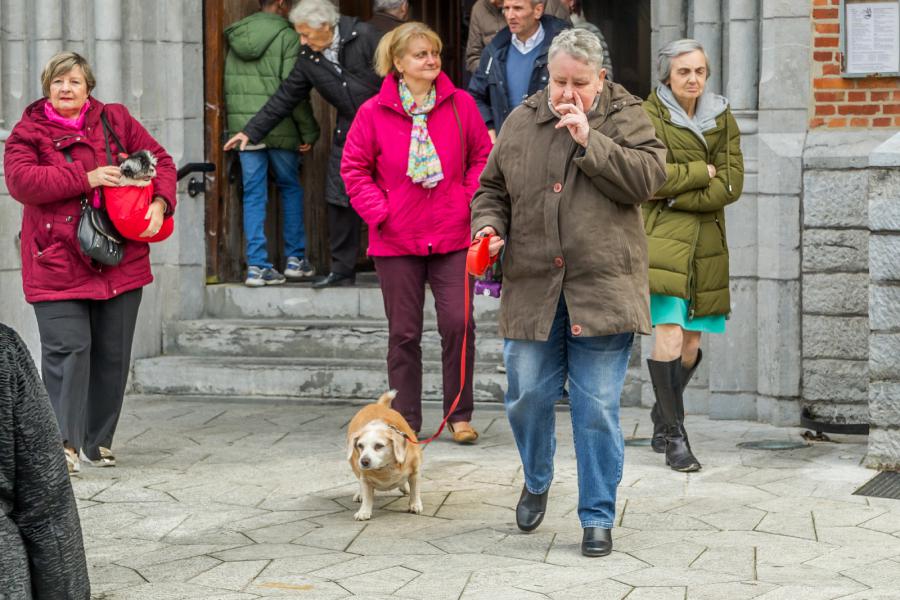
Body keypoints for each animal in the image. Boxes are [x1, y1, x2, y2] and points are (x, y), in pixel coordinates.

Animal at [348, 390, 426, 520]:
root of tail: (378, 405)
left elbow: (415, 490)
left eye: (379, 446)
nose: (364, 461)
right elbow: (367, 495)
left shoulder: (415, 472)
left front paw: (415, 504)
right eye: (360, 445)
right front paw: (364, 511)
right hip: (355, 466)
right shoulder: (365, 478)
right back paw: (360, 494)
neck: (386, 468)